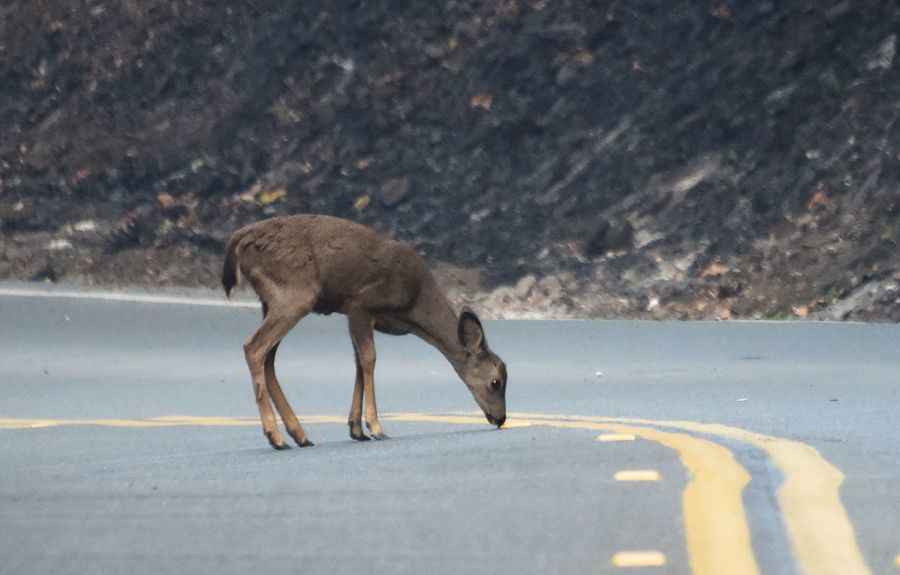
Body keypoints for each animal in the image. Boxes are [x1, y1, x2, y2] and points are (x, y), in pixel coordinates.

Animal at [221, 214, 506, 452]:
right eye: (496, 382)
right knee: (254, 347)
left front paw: (356, 428)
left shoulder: (356, 314)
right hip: (294, 295)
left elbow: (358, 362)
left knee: (269, 358)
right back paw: (276, 436)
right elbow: (369, 359)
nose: (501, 418)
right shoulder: (361, 303)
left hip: (271, 301)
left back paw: (298, 435)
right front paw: (376, 427)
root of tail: (240, 238)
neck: (414, 306)